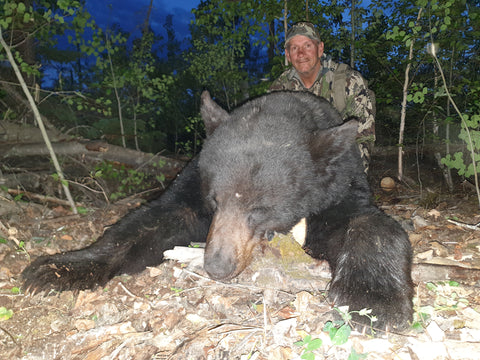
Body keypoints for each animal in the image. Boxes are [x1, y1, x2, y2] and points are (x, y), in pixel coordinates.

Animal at [21, 90, 412, 332]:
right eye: (215, 200)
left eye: (260, 208)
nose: (217, 266)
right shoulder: (192, 186)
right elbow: (147, 222)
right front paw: (57, 268)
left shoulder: (337, 188)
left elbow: (371, 224)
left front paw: (375, 299)